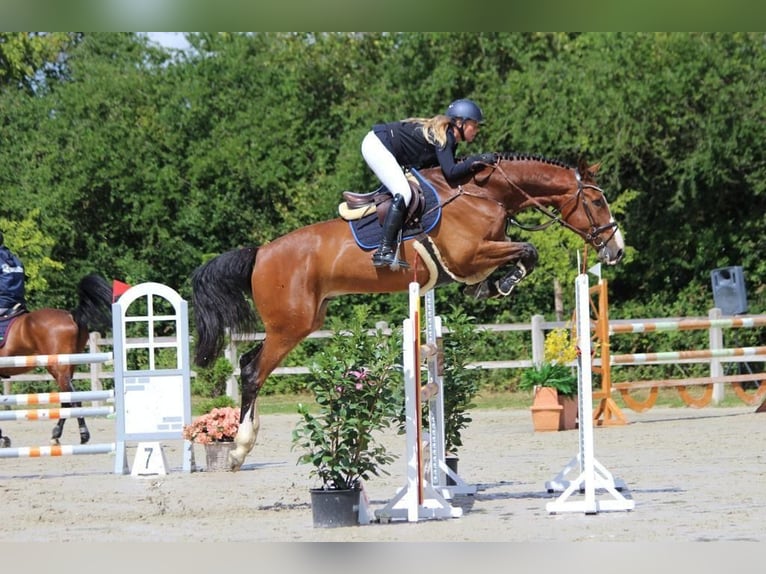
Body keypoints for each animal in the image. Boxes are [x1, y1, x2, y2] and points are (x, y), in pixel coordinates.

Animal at [0, 274, 114, 446]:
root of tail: (71, 316)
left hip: (57, 368)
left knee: (73, 399)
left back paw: (82, 434)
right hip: (67, 368)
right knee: (67, 400)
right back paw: (56, 434)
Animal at [190, 154, 624, 472]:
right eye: (596, 201)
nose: (616, 250)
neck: (484, 195)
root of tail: (261, 253)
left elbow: (519, 255)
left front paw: (488, 286)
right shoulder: (469, 256)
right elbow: (528, 252)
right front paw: (500, 283)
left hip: (300, 322)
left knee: (249, 362)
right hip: (290, 326)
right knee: (252, 371)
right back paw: (239, 449)